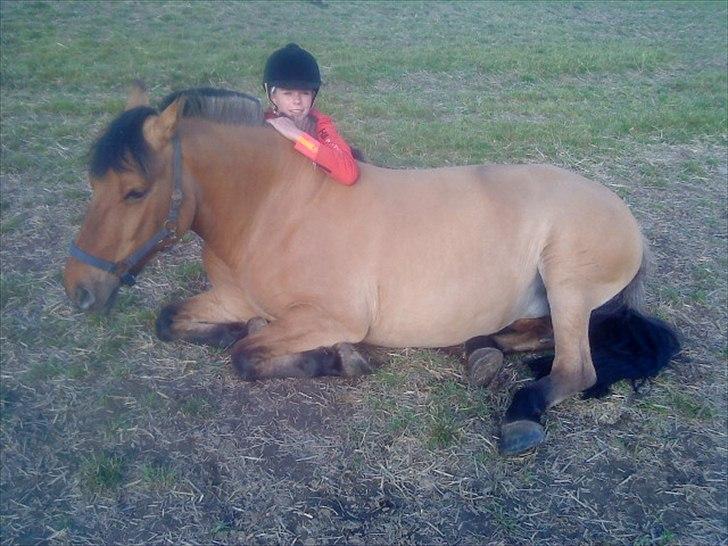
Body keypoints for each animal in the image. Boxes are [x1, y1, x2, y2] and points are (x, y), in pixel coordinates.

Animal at [64, 83, 684, 452]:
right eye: (94, 181)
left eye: (135, 191)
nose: (79, 291)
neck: (273, 209)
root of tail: (626, 217)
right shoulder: (232, 296)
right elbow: (173, 321)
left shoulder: (333, 316)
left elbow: (245, 355)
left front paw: (334, 360)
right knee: (535, 335)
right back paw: (478, 348)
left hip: (565, 281)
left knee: (575, 369)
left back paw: (520, 412)